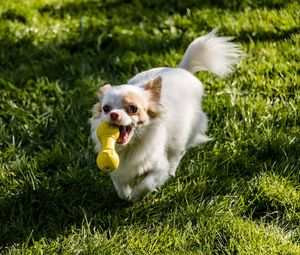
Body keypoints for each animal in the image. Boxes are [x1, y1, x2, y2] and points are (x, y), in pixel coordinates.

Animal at [89, 29, 241, 201]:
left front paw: (135, 197)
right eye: (106, 109)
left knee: (177, 154)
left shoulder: (159, 167)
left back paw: (172, 171)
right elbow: (120, 188)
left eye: (133, 108)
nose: (113, 114)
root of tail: (181, 69)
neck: (131, 146)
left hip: (182, 135)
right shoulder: (118, 171)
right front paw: (127, 195)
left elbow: (146, 184)